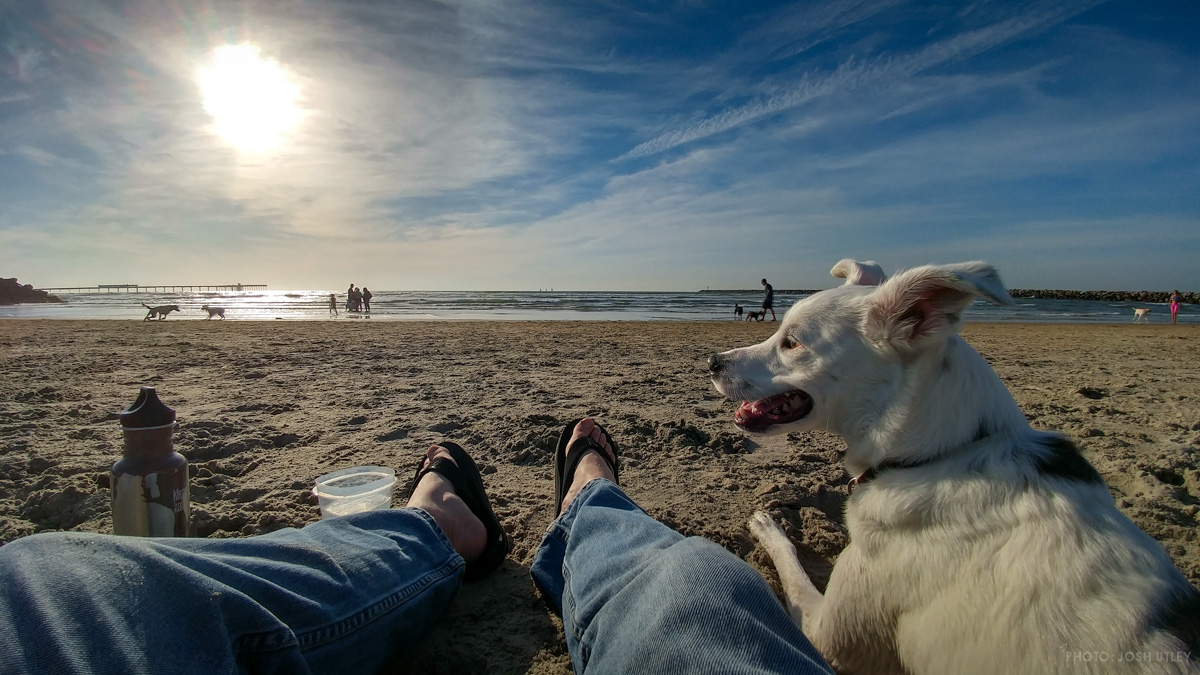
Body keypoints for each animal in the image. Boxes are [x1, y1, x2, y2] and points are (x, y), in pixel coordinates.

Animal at [710, 257, 1200, 672]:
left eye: (792, 342)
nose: (712, 360)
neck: (942, 454)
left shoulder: (830, 633)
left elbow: (791, 567)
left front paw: (768, 525)